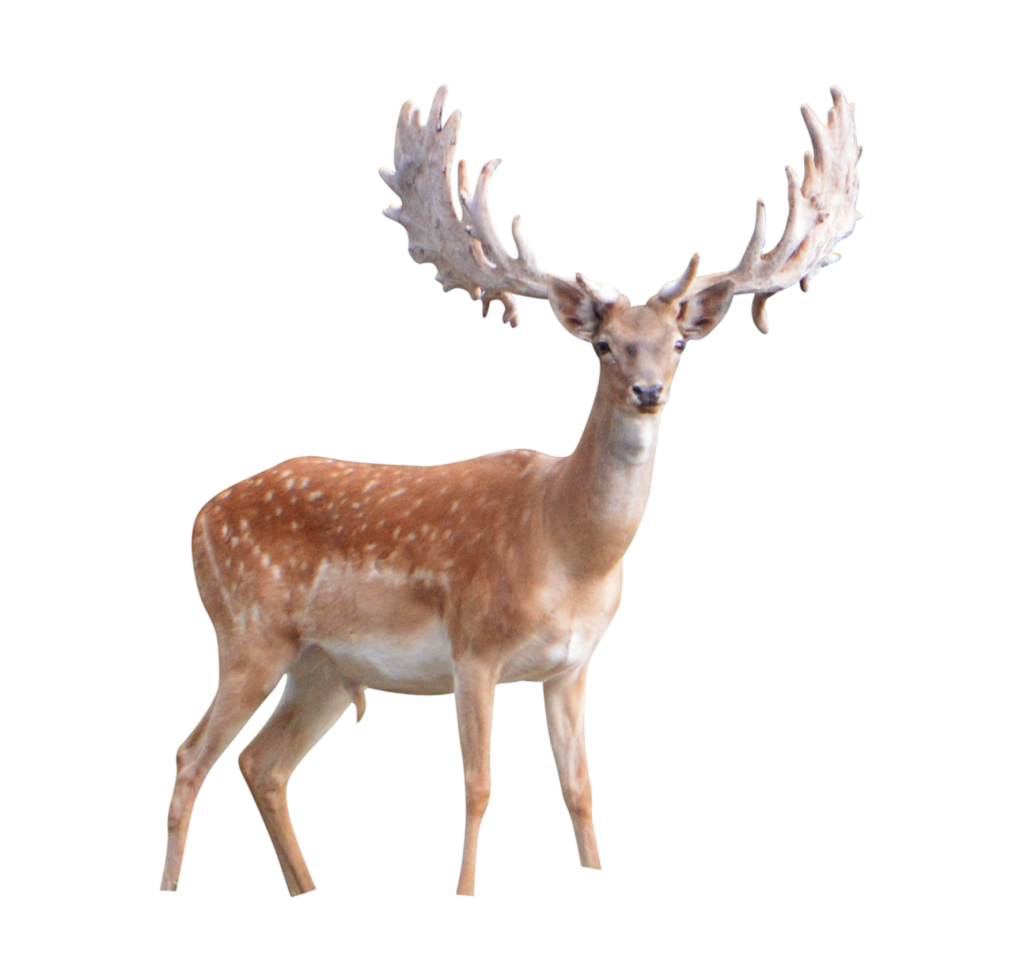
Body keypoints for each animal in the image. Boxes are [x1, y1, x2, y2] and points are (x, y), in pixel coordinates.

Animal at [159, 82, 864, 898]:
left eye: (679, 345)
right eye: (603, 345)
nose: (649, 391)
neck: (566, 547)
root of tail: (200, 517)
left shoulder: (573, 664)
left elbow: (581, 789)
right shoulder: (474, 647)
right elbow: (479, 786)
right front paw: (463, 889)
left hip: (327, 667)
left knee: (262, 763)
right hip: (248, 632)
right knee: (193, 754)